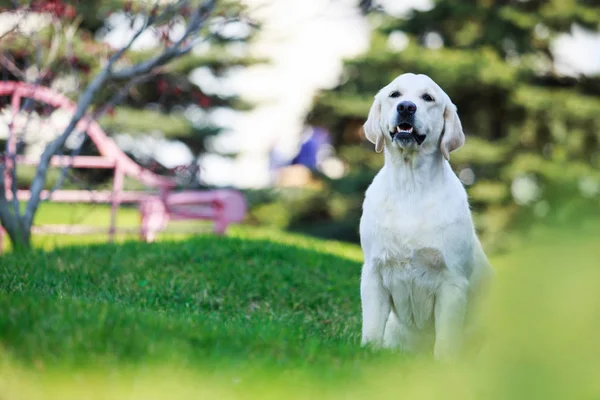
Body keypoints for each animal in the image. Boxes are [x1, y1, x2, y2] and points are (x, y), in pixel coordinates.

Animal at [360, 72, 492, 362]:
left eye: (428, 98)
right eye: (395, 95)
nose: (406, 107)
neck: (410, 186)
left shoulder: (452, 280)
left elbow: (446, 338)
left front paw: (444, 365)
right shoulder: (374, 272)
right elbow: (372, 326)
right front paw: (367, 353)